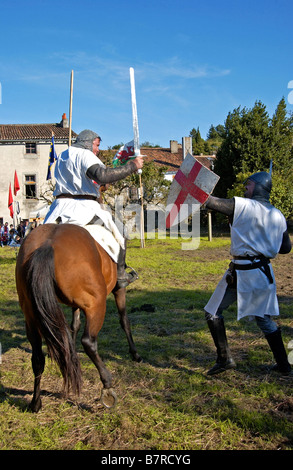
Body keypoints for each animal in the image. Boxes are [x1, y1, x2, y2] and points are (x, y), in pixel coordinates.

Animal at [15, 223, 141, 412]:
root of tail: (47, 244)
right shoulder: (119, 290)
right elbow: (124, 320)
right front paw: (134, 353)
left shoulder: (74, 303)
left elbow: (74, 325)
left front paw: (71, 353)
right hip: (96, 304)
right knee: (89, 341)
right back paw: (107, 385)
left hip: (30, 313)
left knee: (37, 358)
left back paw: (36, 402)